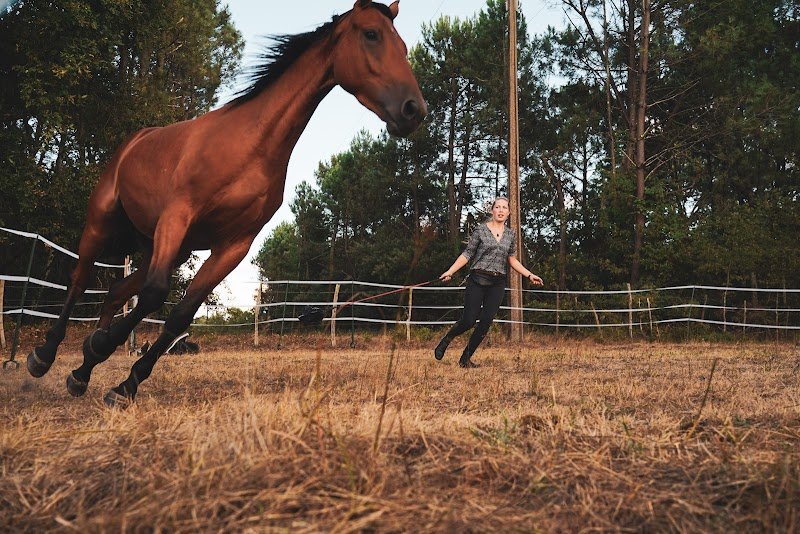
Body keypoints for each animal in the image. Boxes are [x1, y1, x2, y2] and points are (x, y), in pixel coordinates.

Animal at [26, 0, 427, 407]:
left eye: (404, 47)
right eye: (371, 35)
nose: (414, 109)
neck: (250, 145)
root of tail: (136, 140)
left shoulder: (233, 245)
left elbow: (180, 315)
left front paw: (123, 384)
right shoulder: (178, 216)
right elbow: (155, 294)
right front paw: (102, 354)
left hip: (170, 249)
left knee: (116, 292)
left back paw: (82, 371)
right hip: (103, 220)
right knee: (81, 280)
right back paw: (44, 356)